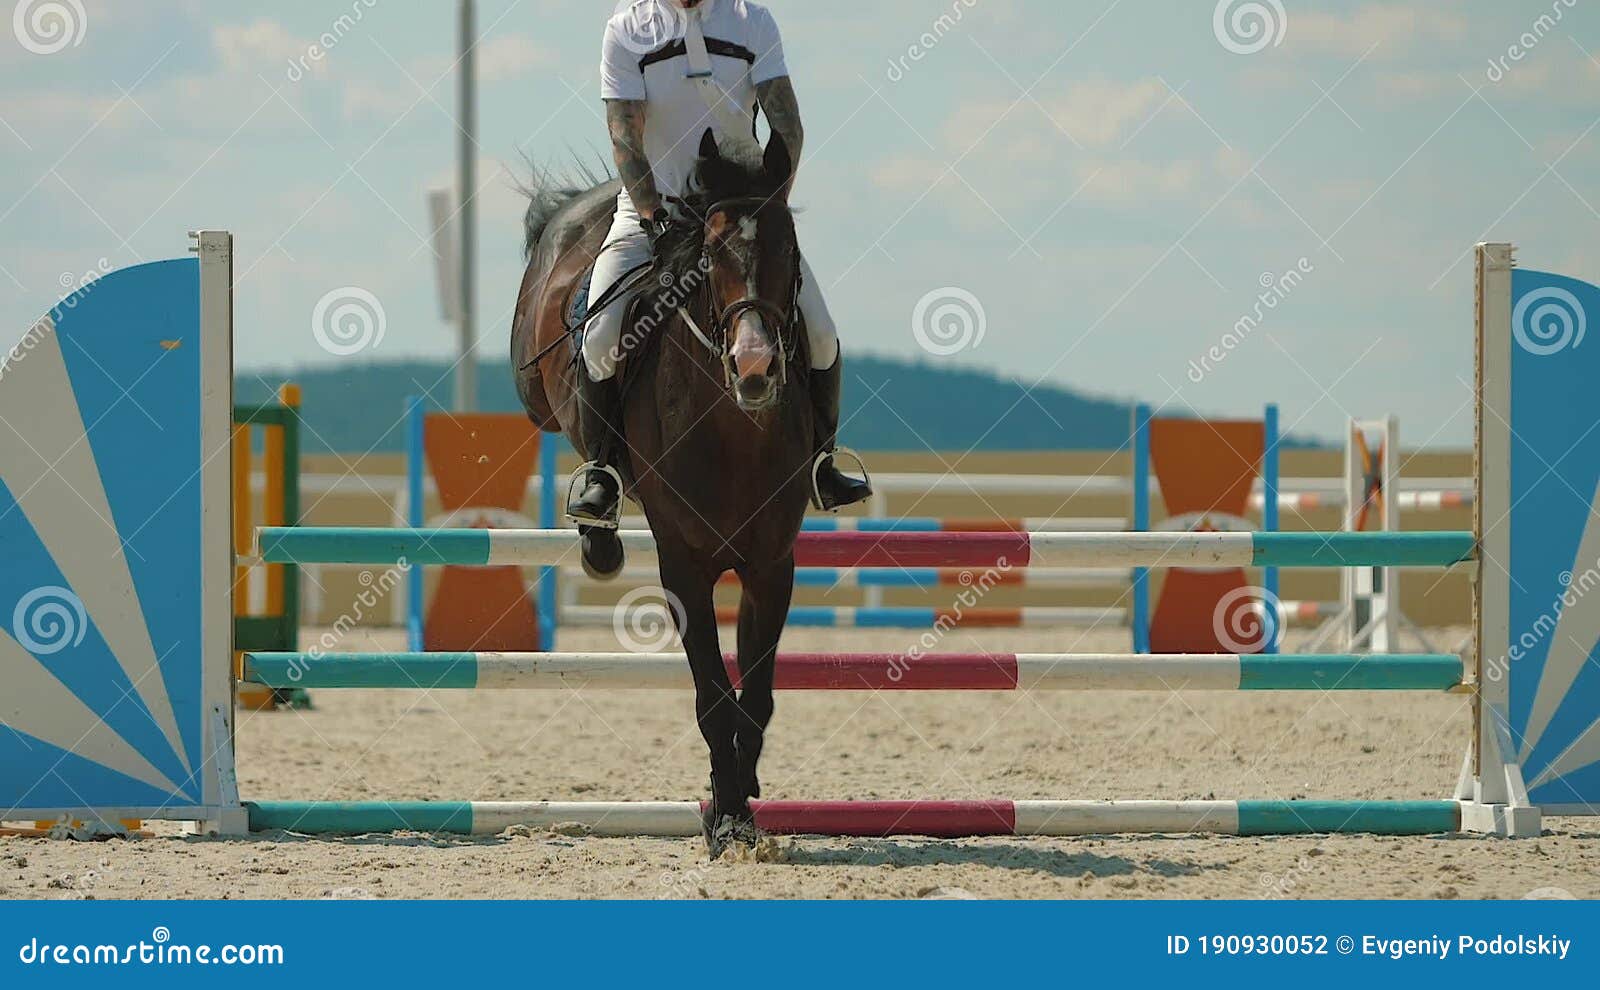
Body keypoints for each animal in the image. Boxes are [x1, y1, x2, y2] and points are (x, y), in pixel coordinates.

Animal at [512, 129, 812, 857]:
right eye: (710, 256)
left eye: (789, 250)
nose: (756, 368)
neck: (734, 429)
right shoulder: (684, 564)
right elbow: (712, 693)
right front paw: (726, 816)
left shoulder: (771, 565)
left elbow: (755, 693)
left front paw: (740, 797)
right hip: (537, 382)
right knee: (573, 421)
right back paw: (598, 526)